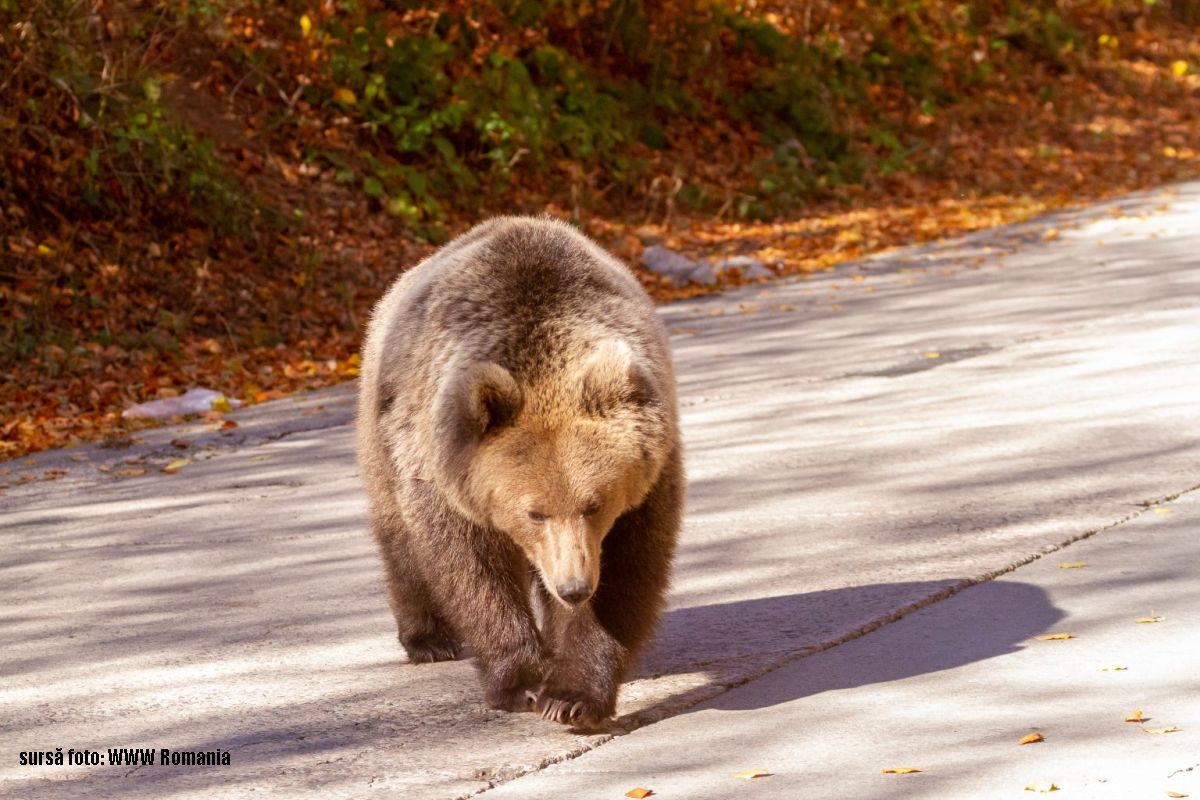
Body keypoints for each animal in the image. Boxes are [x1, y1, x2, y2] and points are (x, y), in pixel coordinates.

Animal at [355, 215, 686, 729]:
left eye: (595, 505)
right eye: (534, 512)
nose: (574, 587)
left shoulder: (647, 479)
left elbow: (627, 568)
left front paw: (572, 696)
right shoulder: (447, 474)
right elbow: (471, 569)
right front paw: (524, 682)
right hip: (384, 431)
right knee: (399, 537)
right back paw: (428, 639)